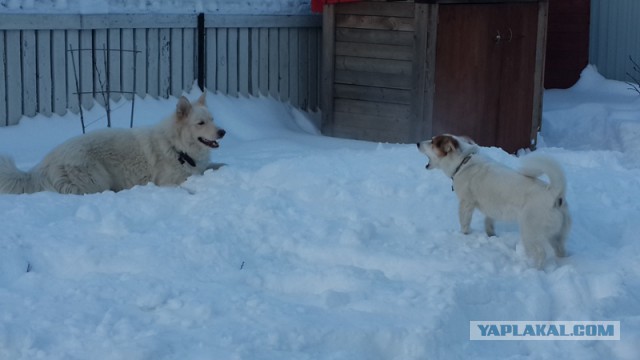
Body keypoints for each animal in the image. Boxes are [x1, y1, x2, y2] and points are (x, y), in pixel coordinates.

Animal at [0, 93, 225, 194]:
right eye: (201, 123)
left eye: (213, 119)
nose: (223, 132)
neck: (177, 147)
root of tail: (44, 164)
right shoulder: (166, 181)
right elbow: (184, 187)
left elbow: (219, 165)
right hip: (96, 179)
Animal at [418, 134, 572, 268]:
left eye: (432, 142)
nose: (418, 143)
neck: (463, 162)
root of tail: (555, 193)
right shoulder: (492, 208)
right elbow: (488, 221)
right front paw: (491, 235)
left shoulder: (466, 203)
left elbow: (464, 223)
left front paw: (464, 235)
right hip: (557, 236)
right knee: (560, 250)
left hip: (530, 233)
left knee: (540, 254)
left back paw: (534, 269)